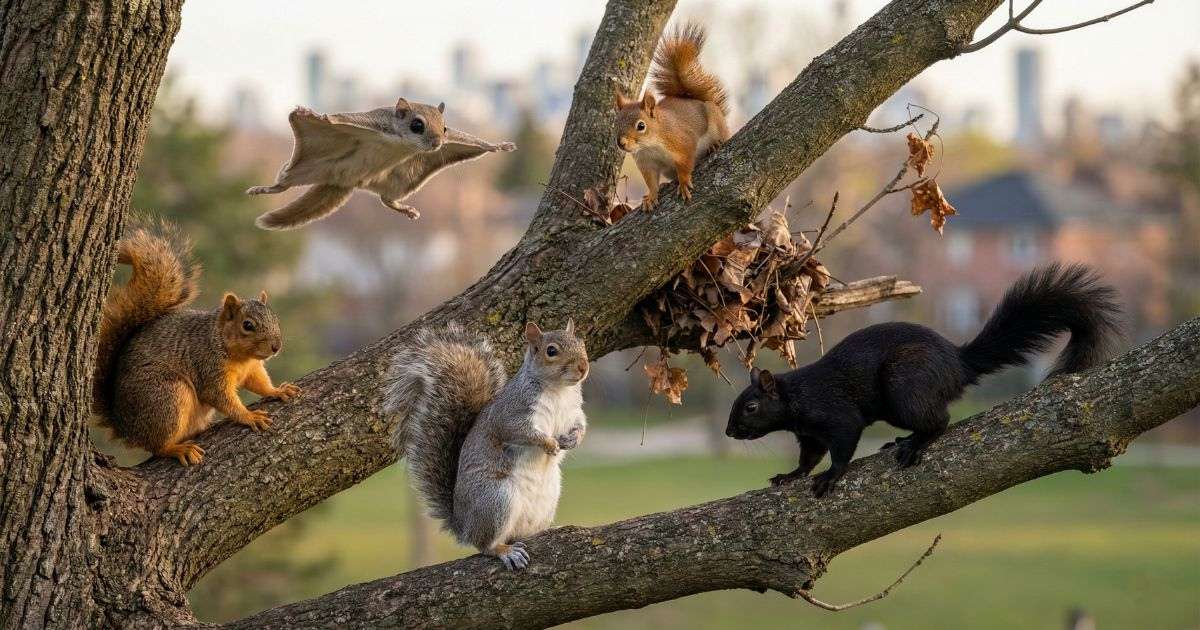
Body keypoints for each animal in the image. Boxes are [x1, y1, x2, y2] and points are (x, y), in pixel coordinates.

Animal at [91, 223, 301, 466]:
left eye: (275, 318)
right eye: (247, 325)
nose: (276, 346)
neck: (237, 354)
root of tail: (124, 425)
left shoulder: (252, 369)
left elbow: (260, 383)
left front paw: (278, 390)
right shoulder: (208, 367)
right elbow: (221, 398)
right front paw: (249, 416)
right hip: (166, 395)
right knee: (157, 446)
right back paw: (177, 449)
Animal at [247, 99, 515, 230]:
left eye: (445, 127)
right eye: (417, 125)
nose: (439, 142)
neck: (402, 144)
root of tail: (343, 182)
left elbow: (474, 141)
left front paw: (499, 146)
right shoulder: (368, 122)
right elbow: (337, 118)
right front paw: (312, 113)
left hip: (398, 181)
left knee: (387, 200)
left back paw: (405, 209)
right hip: (305, 168)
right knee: (283, 184)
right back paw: (264, 188)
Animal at [385, 321, 589, 570]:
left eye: (582, 343)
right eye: (551, 351)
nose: (583, 367)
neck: (559, 390)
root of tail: (463, 525)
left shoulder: (574, 412)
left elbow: (580, 426)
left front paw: (572, 440)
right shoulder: (511, 414)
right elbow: (519, 432)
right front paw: (549, 443)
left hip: (548, 499)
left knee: (520, 533)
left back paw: (547, 531)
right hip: (495, 500)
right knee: (485, 545)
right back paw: (504, 551)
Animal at [615, 22, 730, 210]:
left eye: (641, 126)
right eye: (615, 124)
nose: (621, 143)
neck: (650, 145)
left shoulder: (683, 143)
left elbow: (685, 165)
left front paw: (683, 183)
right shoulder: (647, 163)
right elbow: (651, 182)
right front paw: (651, 196)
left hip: (716, 120)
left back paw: (715, 145)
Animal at [725, 264, 1121, 498]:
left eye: (751, 406)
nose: (729, 432)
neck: (797, 395)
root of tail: (958, 364)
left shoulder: (835, 413)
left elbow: (841, 446)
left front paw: (830, 476)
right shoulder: (808, 433)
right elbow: (809, 457)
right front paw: (791, 475)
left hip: (905, 387)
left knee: (940, 420)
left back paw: (915, 443)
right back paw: (904, 440)